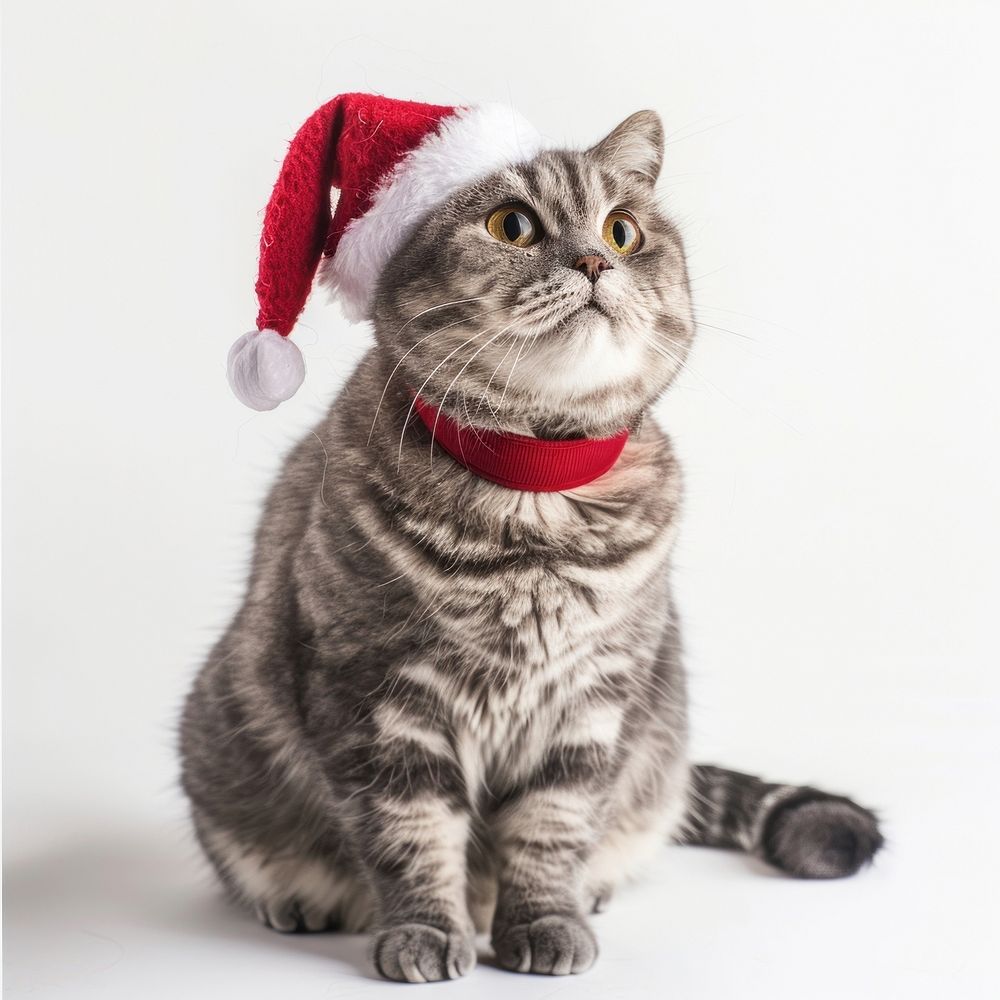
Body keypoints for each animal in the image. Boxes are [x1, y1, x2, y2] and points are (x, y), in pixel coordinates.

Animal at [180, 107, 884, 976]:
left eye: (622, 232)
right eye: (511, 226)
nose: (594, 260)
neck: (536, 493)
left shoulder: (593, 704)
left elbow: (550, 830)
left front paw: (545, 920)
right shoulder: (379, 697)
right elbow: (411, 832)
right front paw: (425, 932)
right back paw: (296, 898)